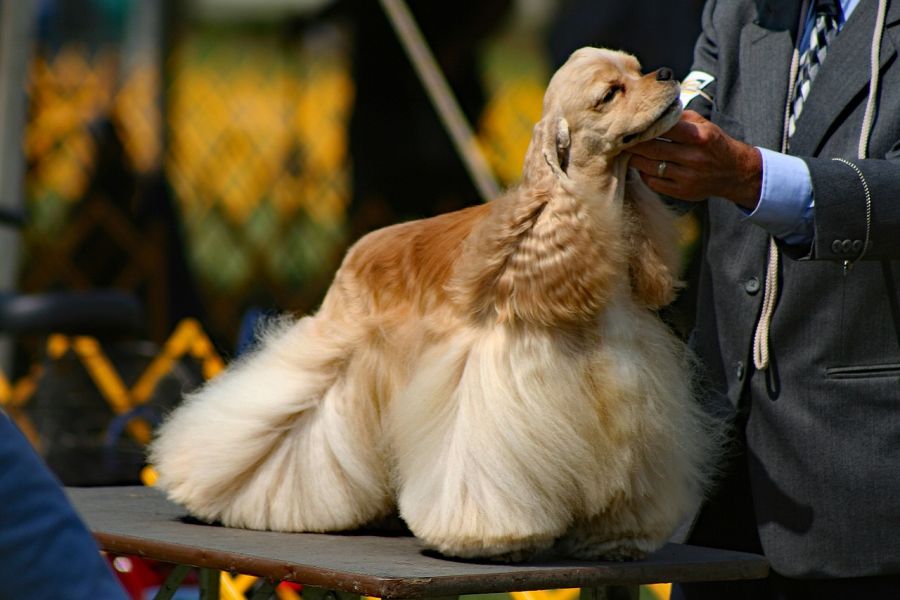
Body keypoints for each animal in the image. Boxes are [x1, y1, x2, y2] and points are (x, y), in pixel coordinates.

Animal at [151, 48, 720, 564]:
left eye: (637, 66)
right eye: (609, 93)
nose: (668, 73)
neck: (582, 226)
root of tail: (357, 248)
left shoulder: (628, 385)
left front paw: (618, 537)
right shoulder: (493, 379)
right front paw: (493, 540)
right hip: (334, 362)